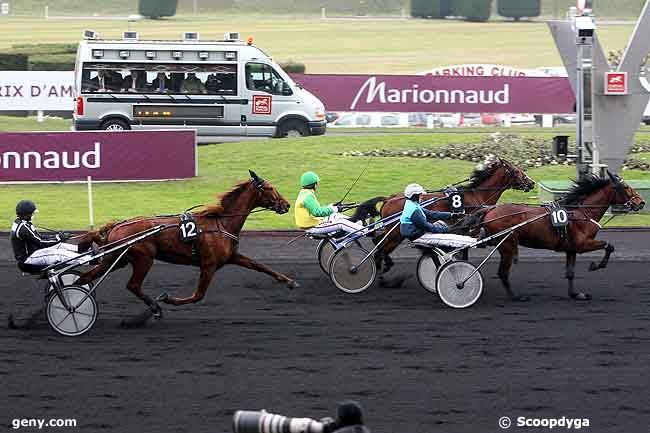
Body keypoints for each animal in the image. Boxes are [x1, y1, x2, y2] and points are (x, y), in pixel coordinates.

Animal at [76, 170, 296, 316]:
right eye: (269, 188)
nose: (286, 205)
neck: (221, 223)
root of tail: (115, 227)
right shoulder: (209, 265)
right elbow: (198, 295)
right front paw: (168, 299)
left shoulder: (232, 256)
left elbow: (260, 266)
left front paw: (289, 281)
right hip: (144, 258)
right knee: (133, 285)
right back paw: (154, 307)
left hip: (116, 259)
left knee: (85, 278)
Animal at [372, 158, 536, 274]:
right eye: (517, 171)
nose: (532, 182)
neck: (477, 195)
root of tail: (389, 199)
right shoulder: (468, 229)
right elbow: (464, 249)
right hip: (395, 233)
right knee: (381, 249)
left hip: (391, 232)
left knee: (377, 242)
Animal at [470, 172, 644, 300]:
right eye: (626, 187)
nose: (641, 202)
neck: (581, 213)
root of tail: (490, 209)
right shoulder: (583, 244)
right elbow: (609, 246)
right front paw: (595, 265)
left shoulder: (571, 248)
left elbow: (570, 273)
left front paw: (576, 294)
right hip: (508, 245)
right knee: (503, 273)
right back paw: (515, 297)